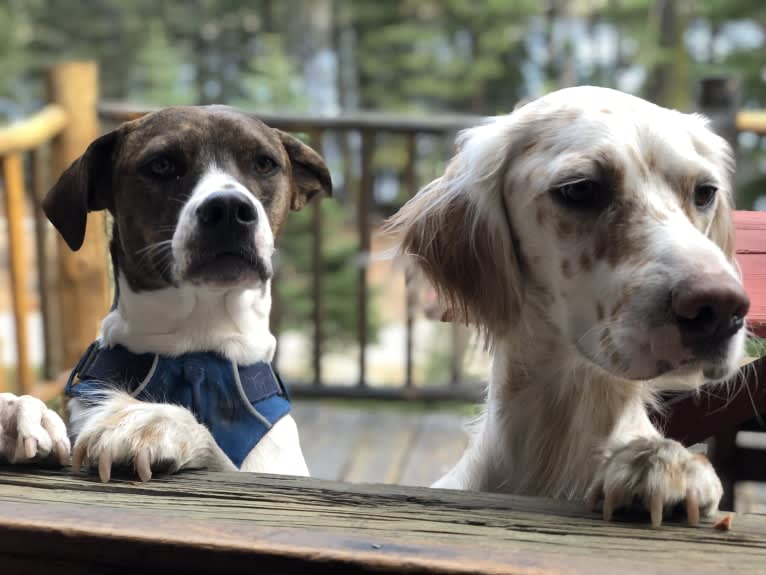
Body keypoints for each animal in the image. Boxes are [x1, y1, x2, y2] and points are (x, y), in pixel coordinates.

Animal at [0, 107, 330, 482]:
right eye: (161, 164)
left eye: (264, 163)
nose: (229, 209)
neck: (197, 350)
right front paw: (19, 412)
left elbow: (219, 454)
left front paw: (153, 422)